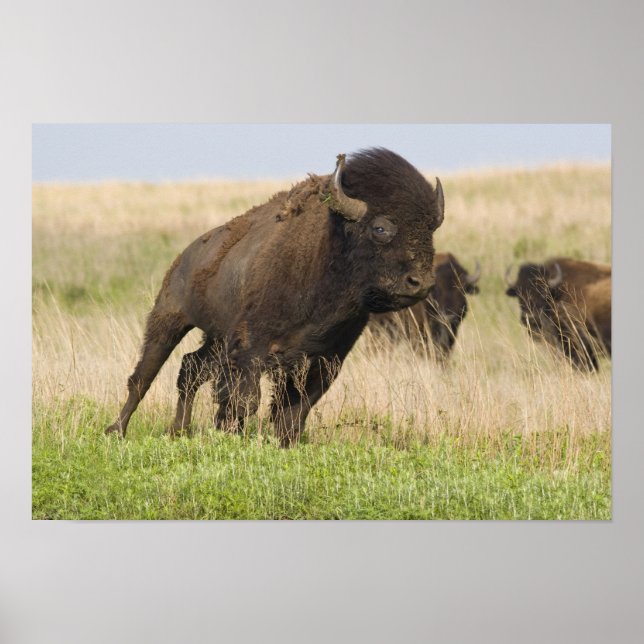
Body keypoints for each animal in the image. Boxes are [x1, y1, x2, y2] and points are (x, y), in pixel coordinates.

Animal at [106, 148, 445, 445]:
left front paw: (280, 443)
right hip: (169, 318)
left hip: (215, 340)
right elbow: (245, 401)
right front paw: (232, 436)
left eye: (430, 230)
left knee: (189, 369)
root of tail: (186, 256)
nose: (421, 282)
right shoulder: (250, 348)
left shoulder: (326, 360)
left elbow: (294, 411)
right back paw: (116, 431)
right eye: (381, 228)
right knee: (143, 376)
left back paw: (178, 431)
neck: (326, 253)